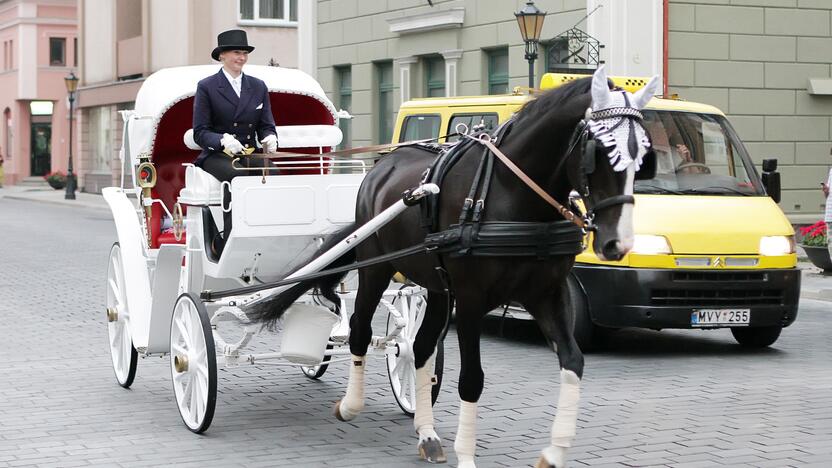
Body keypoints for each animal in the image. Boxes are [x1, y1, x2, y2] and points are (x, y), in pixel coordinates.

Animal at [247, 66, 656, 468]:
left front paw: (553, 453)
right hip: (377, 270)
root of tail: (383, 165)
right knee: (361, 329)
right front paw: (467, 456)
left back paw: (427, 435)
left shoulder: (547, 295)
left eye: (643, 157)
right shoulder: (473, 299)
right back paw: (350, 405)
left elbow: (573, 361)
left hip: (438, 288)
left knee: (420, 347)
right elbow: (472, 378)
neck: (511, 195)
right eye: (599, 150)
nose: (618, 244)